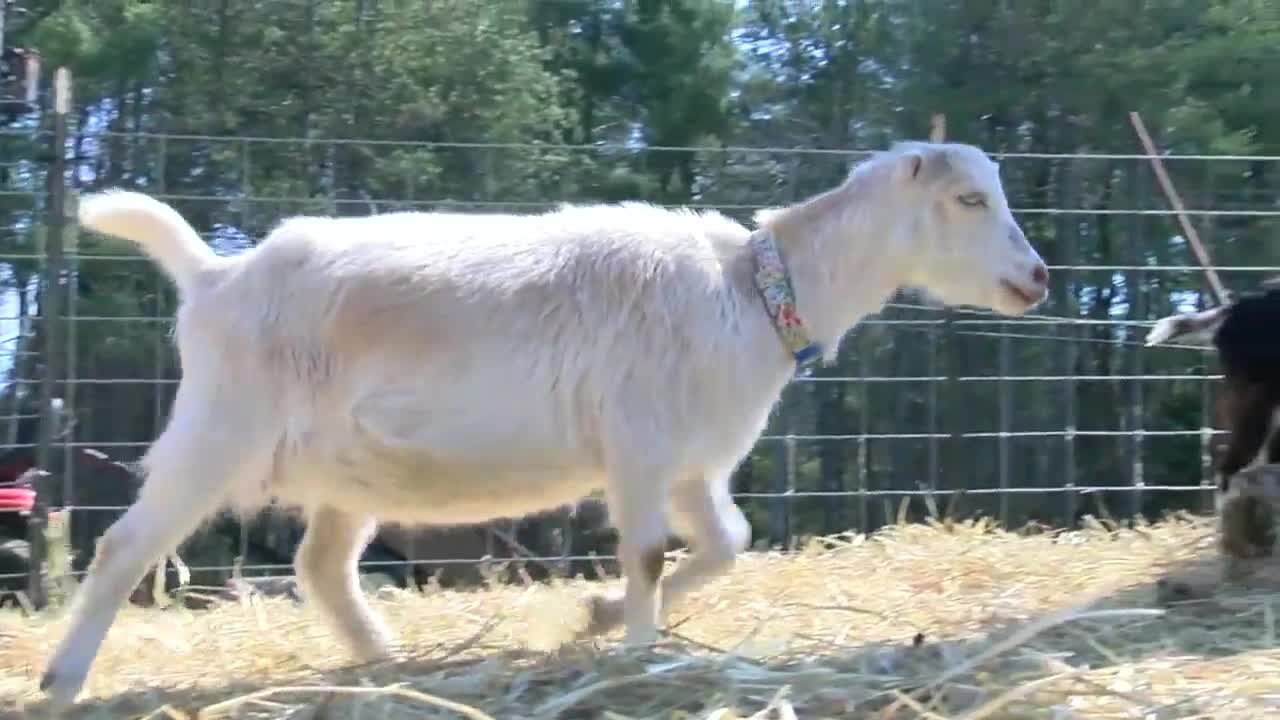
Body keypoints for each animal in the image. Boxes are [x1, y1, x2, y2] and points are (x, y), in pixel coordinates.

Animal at [40, 141, 1049, 707]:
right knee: (124, 547)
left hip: (346, 470)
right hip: (220, 424)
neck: (750, 291)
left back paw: (386, 662)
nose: (1038, 278)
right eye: (969, 200)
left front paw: (601, 619)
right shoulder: (639, 442)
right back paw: (62, 681)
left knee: (321, 565)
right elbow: (649, 552)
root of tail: (214, 274)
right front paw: (638, 654)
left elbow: (727, 542)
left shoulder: (690, 459)